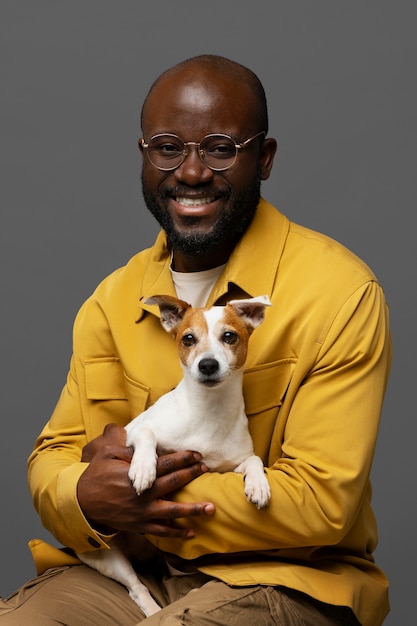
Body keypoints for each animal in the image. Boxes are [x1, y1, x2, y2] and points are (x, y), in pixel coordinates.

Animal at [76, 294, 272, 616]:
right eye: (188, 339)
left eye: (229, 336)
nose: (207, 364)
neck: (209, 410)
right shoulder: (136, 430)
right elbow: (146, 435)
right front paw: (144, 470)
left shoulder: (230, 465)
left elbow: (253, 460)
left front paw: (258, 485)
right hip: (108, 557)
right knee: (136, 587)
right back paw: (153, 610)